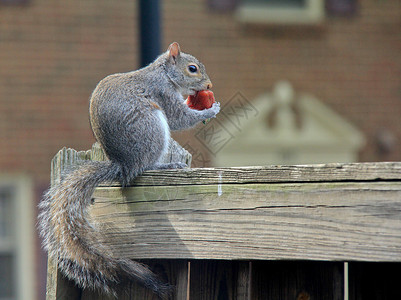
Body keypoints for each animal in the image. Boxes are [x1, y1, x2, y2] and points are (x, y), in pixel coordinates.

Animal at [37, 41, 219, 298]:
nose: (209, 86)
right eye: (192, 68)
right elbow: (179, 118)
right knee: (145, 167)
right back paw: (165, 164)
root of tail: (123, 164)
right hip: (151, 127)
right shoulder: (162, 92)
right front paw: (211, 110)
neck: (163, 73)